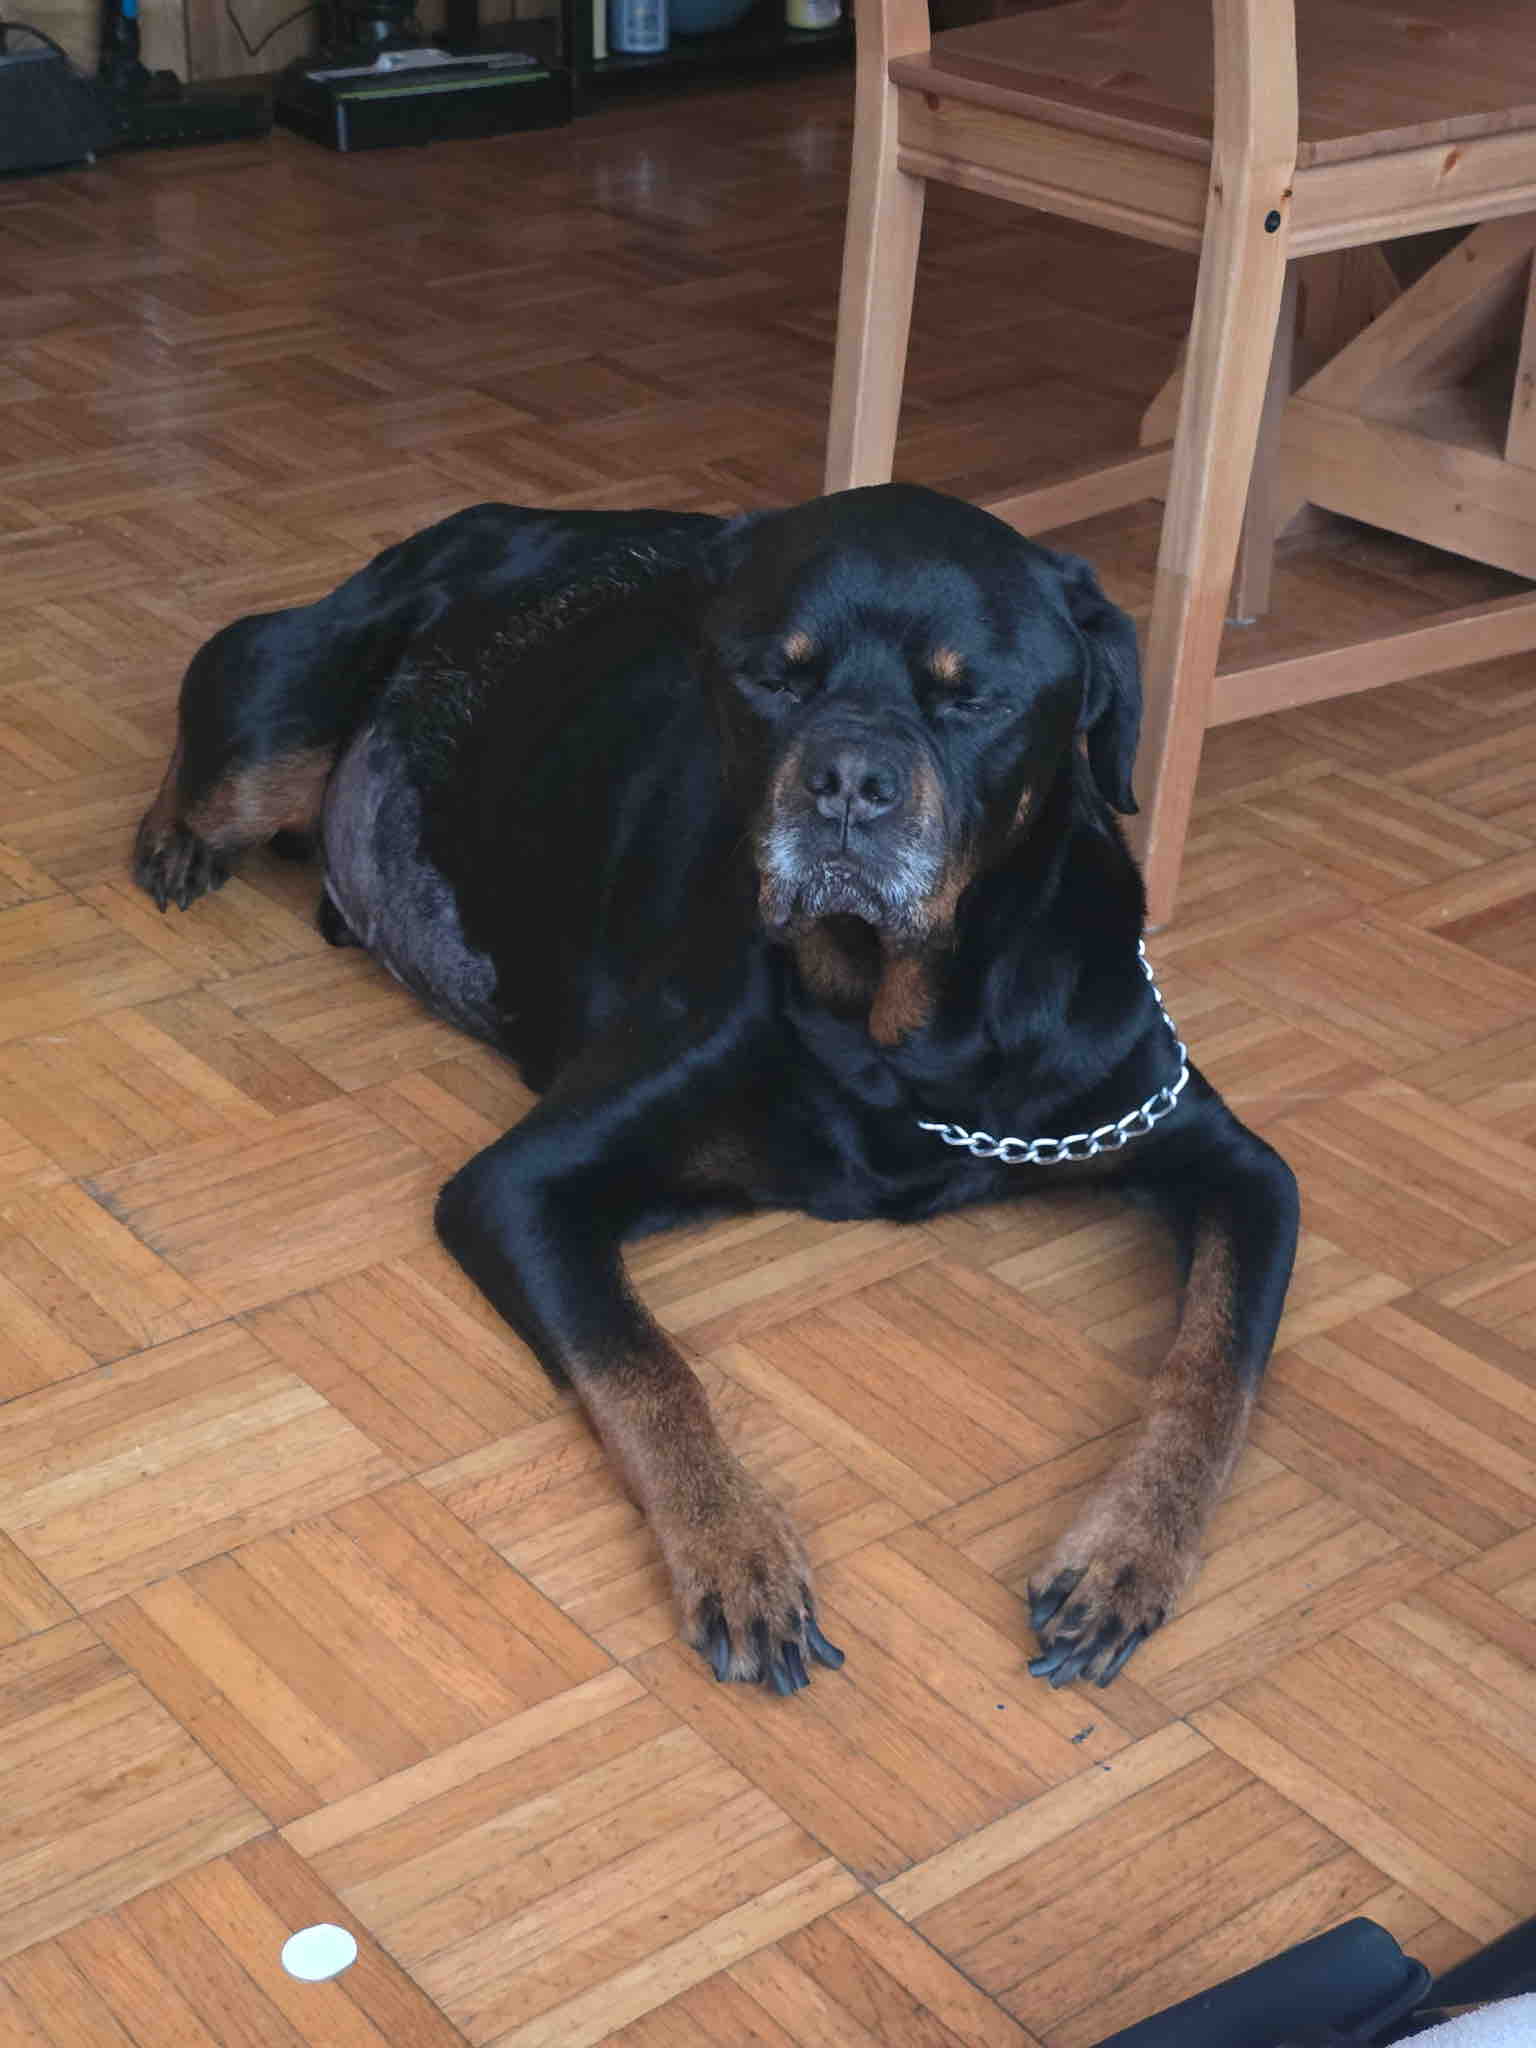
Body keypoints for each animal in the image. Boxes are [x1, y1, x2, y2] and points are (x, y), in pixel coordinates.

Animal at [135, 484, 1298, 1695]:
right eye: (774, 680)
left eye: (971, 695)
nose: (848, 782)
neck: (895, 1031)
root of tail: (484, 515)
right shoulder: (521, 1183)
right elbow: (643, 1366)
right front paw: (738, 1551)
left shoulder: (1230, 1161)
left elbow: (1218, 1369)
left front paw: (1129, 1553)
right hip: (287, 703)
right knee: (224, 738)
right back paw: (176, 838)